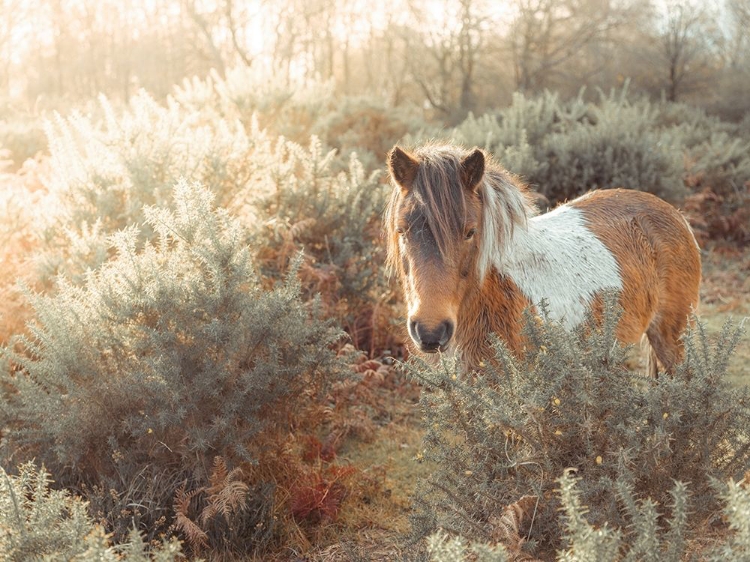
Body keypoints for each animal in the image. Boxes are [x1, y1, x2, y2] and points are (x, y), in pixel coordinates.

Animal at [384, 142, 704, 374]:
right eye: (402, 230)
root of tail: (675, 214)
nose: (430, 331)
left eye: (470, 232)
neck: (497, 291)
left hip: (672, 339)